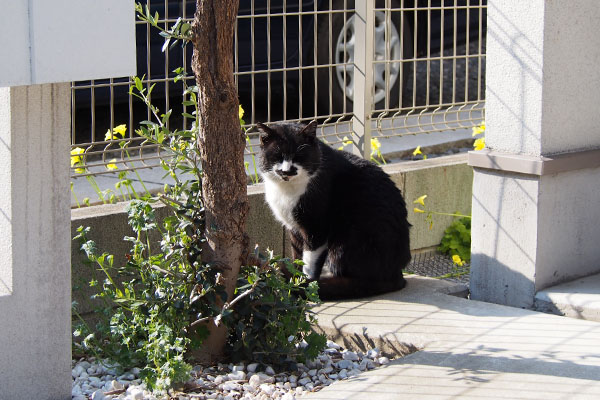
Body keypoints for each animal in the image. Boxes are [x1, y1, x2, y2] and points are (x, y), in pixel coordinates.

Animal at [255, 122, 410, 300]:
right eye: (278, 156)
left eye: (300, 156)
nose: (287, 171)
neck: (286, 191)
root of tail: (397, 274)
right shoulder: (294, 228)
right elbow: (297, 256)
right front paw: (295, 278)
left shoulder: (317, 227)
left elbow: (309, 261)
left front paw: (305, 283)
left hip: (347, 238)